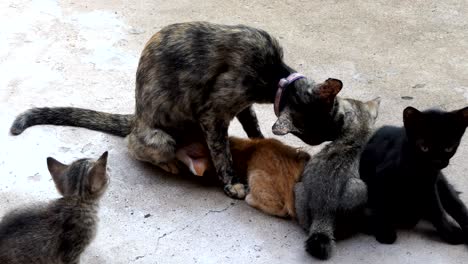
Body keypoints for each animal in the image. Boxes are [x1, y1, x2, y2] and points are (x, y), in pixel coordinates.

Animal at [10, 21, 344, 200]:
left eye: (336, 119)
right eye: (312, 133)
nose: (329, 138)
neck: (275, 75)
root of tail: (136, 118)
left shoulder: (242, 106)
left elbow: (253, 127)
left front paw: (262, 143)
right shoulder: (214, 114)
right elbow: (222, 154)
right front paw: (232, 183)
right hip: (160, 139)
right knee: (140, 150)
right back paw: (169, 164)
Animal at [360, 105, 468, 245]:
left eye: (448, 148)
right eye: (424, 147)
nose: (437, 162)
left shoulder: (430, 184)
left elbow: (437, 208)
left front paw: (449, 232)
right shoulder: (380, 177)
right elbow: (380, 205)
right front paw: (384, 231)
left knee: (457, 205)